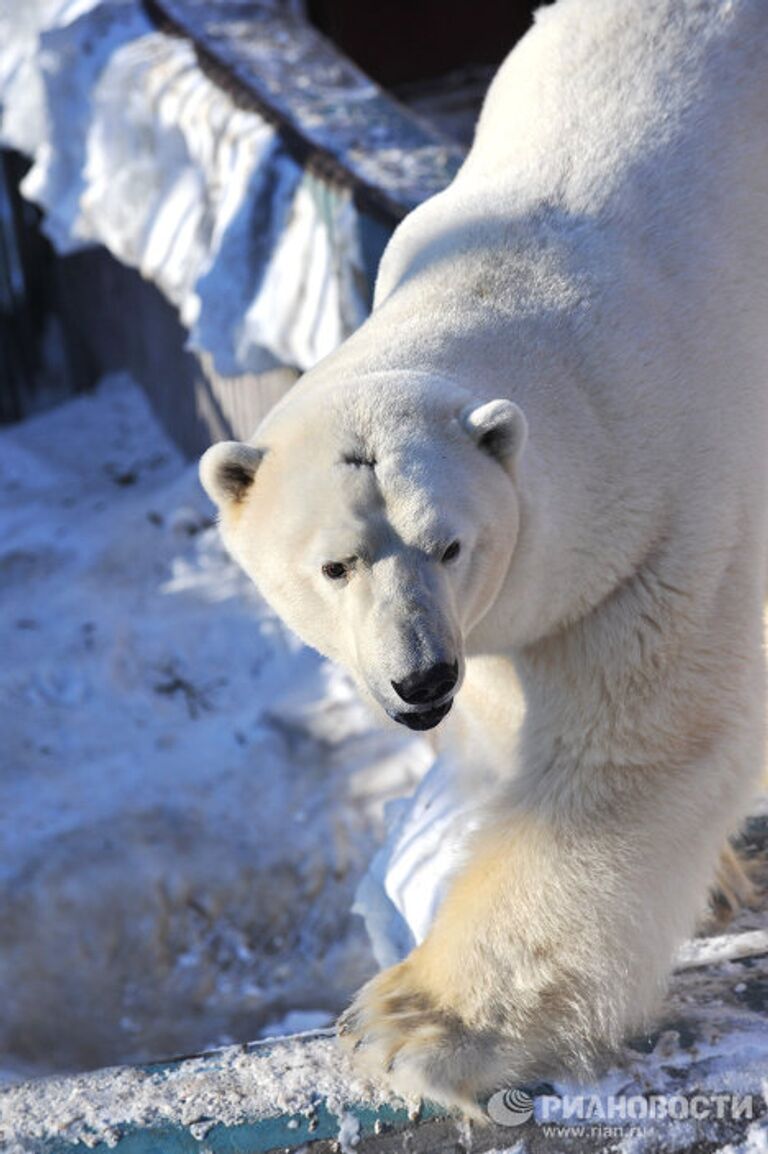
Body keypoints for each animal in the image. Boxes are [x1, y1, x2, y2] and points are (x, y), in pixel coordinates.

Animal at [200, 0, 765, 1117]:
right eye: (335, 565)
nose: (422, 677)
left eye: (449, 542)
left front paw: (412, 1024)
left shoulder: (670, 519)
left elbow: (629, 753)